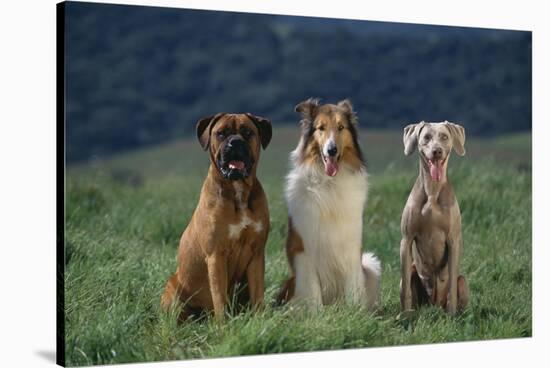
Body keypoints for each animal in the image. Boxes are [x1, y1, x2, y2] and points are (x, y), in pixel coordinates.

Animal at [161, 113, 272, 320]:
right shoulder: (216, 255)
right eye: (221, 133)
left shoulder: (256, 254)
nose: (235, 142)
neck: (238, 191)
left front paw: (260, 320)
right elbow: (219, 297)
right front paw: (224, 325)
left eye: (247, 132)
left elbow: (258, 295)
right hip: (173, 290)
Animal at [278, 98, 382, 310]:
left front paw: (354, 312)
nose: (331, 150)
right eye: (321, 128)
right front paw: (317, 315)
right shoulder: (305, 249)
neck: (329, 184)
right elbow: (313, 292)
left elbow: (353, 289)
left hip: (371, 265)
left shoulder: (352, 247)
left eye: (341, 127)